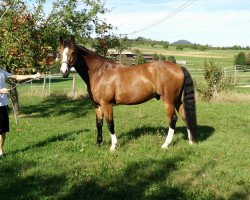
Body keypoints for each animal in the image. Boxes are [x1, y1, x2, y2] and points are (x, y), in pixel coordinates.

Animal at [59, 36, 197, 152]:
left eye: (73, 52)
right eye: (60, 52)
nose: (63, 72)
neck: (100, 72)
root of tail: (179, 68)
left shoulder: (106, 104)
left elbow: (110, 123)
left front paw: (113, 146)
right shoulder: (97, 105)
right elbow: (99, 124)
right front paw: (98, 143)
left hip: (168, 101)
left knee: (172, 119)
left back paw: (165, 144)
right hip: (176, 100)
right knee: (185, 116)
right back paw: (191, 141)